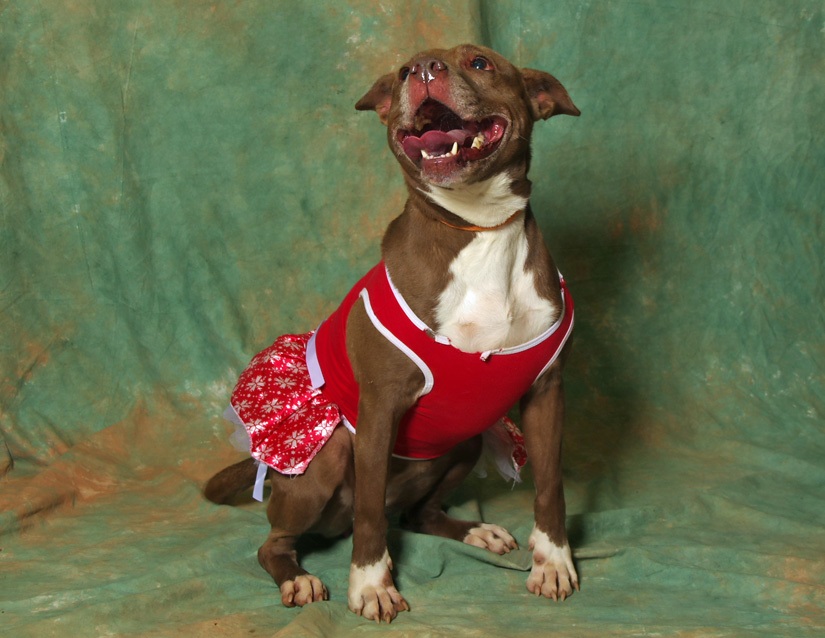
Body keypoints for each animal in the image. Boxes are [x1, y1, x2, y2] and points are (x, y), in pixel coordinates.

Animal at [205, 43, 580, 623]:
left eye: (480, 62)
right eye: (404, 70)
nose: (423, 70)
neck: (479, 230)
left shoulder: (545, 393)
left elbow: (550, 486)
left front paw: (554, 562)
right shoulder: (380, 406)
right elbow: (368, 517)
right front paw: (371, 585)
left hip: (466, 440)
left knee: (415, 514)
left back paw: (474, 530)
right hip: (329, 457)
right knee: (284, 540)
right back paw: (299, 578)